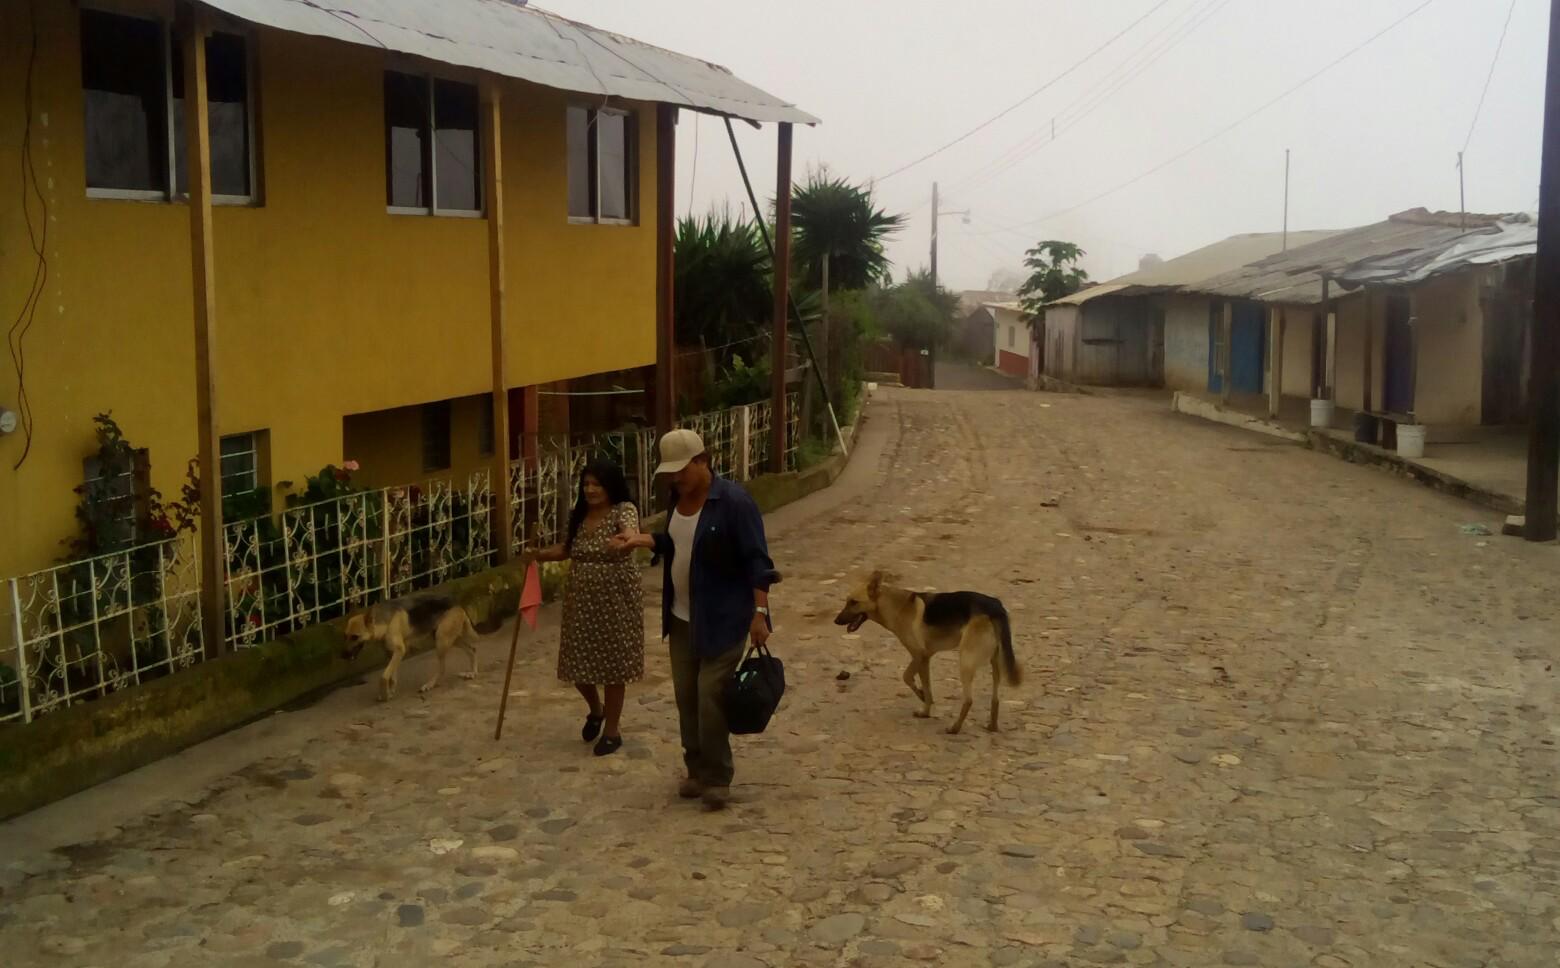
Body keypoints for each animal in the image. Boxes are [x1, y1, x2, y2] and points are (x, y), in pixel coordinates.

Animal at [343, 592, 499, 698]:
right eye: (345, 636)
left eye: (355, 637)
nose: (343, 655)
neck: (383, 620)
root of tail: (457, 604)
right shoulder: (394, 653)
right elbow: (392, 674)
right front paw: (391, 690)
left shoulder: (399, 650)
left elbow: (384, 676)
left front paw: (385, 694)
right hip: (448, 639)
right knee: (472, 649)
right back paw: (472, 673)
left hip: (441, 641)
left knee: (443, 668)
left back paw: (430, 684)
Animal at [829, 567, 1023, 732]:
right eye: (847, 602)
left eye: (854, 602)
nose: (836, 621)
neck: (896, 606)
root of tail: (996, 607)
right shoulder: (926, 658)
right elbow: (926, 685)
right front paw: (926, 709)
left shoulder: (919, 655)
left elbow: (907, 677)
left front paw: (922, 699)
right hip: (995, 663)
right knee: (995, 699)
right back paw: (992, 726)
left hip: (966, 661)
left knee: (968, 699)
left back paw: (955, 728)